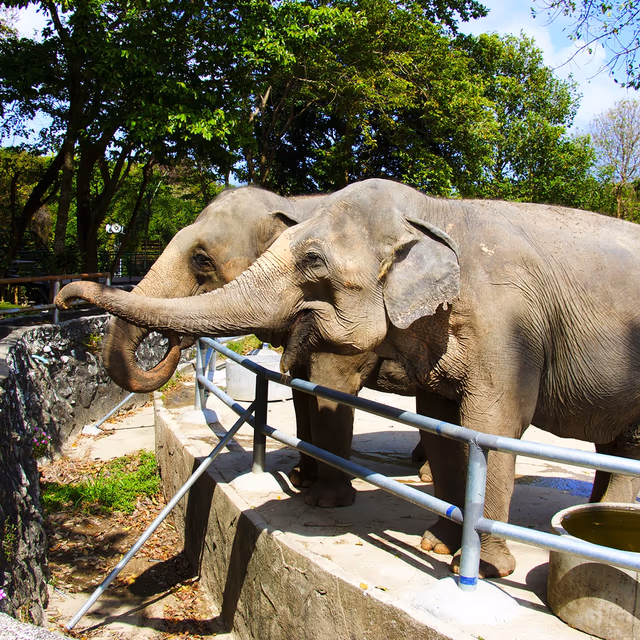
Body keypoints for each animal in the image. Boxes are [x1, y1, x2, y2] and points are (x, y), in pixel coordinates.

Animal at [98, 186, 418, 508]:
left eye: (201, 259)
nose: (174, 341)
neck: (295, 205)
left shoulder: (344, 321)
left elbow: (331, 388)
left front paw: (325, 501)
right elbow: (301, 391)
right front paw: (301, 479)